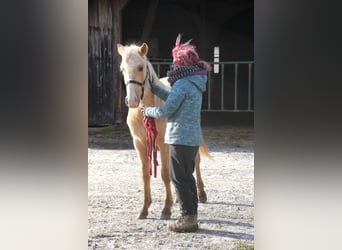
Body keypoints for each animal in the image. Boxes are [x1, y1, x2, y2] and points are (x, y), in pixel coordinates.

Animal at [117, 42, 208, 219]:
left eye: (140, 67)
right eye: (122, 69)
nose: (132, 101)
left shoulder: (162, 143)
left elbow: (165, 173)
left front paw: (166, 209)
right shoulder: (139, 144)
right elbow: (145, 174)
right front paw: (144, 208)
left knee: (197, 161)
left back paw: (201, 195)